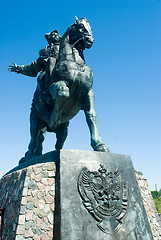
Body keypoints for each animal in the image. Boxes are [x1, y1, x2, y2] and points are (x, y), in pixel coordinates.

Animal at [19, 15, 109, 164]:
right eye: (80, 26)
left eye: (90, 27)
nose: (90, 40)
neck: (75, 62)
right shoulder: (58, 84)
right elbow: (62, 93)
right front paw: (53, 119)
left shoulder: (88, 92)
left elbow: (91, 116)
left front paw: (99, 145)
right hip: (34, 121)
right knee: (34, 139)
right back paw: (30, 155)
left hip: (64, 129)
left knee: (55, 144)